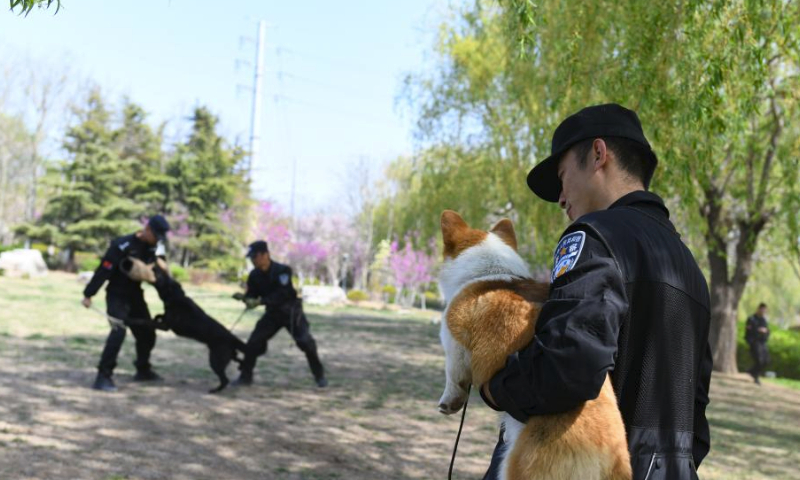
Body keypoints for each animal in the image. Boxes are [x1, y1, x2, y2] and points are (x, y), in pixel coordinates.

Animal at [120, 256, 245, 392]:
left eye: (161, 277)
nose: (154, 266)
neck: (175, 297)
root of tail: (233, 338)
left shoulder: (166, 326)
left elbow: (144, 321)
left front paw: (129, 319)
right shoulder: (166, 320)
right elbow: (158, 316)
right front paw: (157, 317)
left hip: (216, 360)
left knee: (225, 379)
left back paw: (215, 390)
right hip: (228, 356)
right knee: (238, 361)